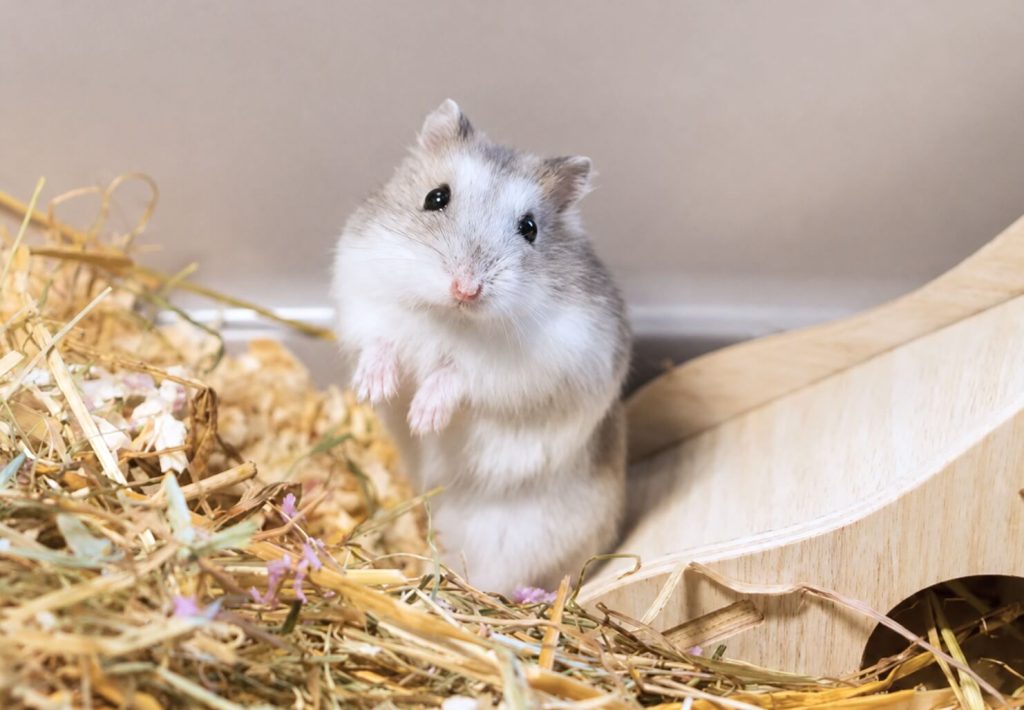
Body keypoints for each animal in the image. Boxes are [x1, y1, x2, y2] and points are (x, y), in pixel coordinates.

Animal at [331, 99, 631, 595]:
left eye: (529, 228)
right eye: (436, 197)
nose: (465, 288)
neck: (452, 319)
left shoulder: (533, 366)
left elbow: (459, 374)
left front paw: (423, 418)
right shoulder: (366, 303)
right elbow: (381, 343)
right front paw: (375, 390)